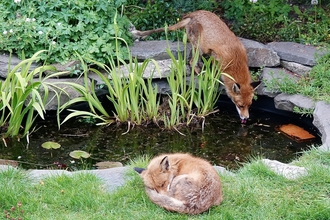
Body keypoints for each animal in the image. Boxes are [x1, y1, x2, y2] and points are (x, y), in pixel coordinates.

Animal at [131, 10, 260, 123]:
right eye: (240, 105)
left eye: (249, 105)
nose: (246, 118)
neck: (235, 60)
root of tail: (192, 14)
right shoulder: (216, 57)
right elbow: (214, 72)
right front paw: (213, 80)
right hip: (200, 47)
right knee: (191, 61)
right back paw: (200, 73)